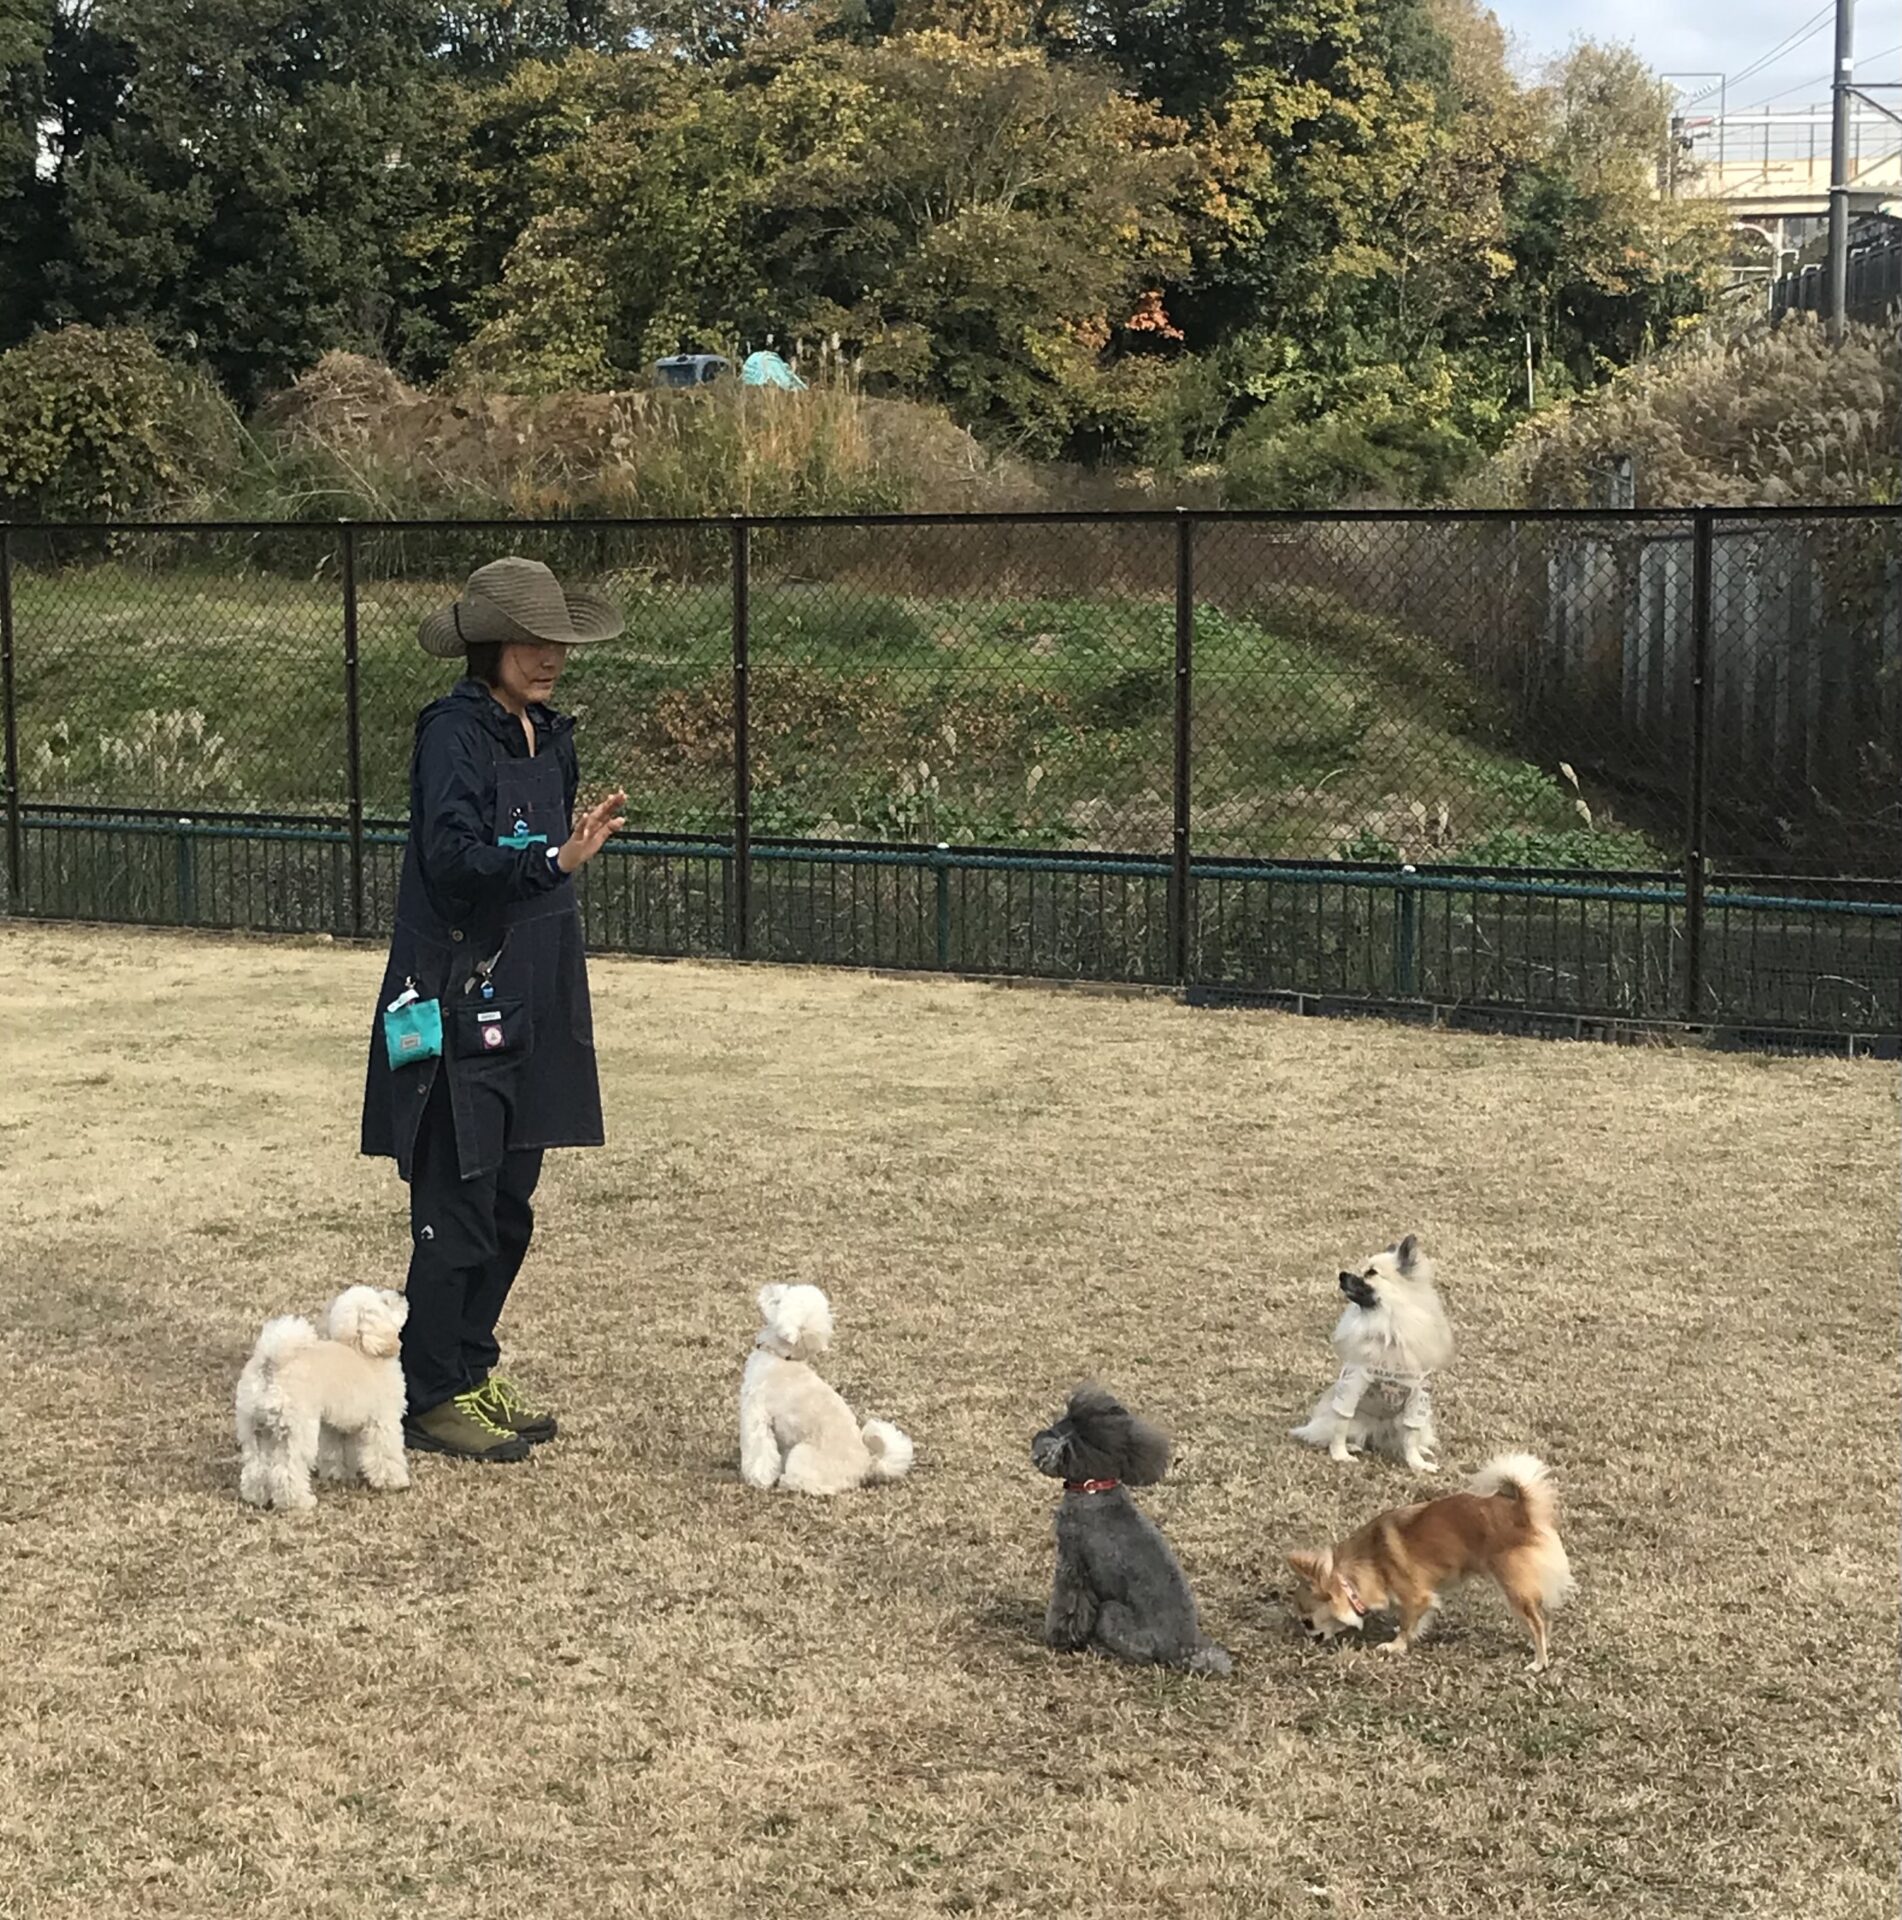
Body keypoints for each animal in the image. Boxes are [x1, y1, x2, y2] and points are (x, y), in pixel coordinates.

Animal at [234, 1286, 410, 1513]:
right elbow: (386, 1452)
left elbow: (337, 1451)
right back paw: (300, 1502)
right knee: (288, 1471)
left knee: (256, 1467)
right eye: (385, 1302)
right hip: (297, 1431)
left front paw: (339, 1474)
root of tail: (271, 1363)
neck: (359, 1347)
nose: (401, 1293)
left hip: (254, 1428)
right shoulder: (382, 1420)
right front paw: (394, 1481)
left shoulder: (336, 1425)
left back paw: (257, 1498)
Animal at [738, 1284, 914, 1495]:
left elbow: (759, 1451)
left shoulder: (757, 1415)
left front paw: (758, 1480)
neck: (782, 1357)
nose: (769, 1287)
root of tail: (868, 1465)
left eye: (778, 1301)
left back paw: (787, 1483)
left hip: (802, 1454)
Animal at [1031, 1385, 1231, 1675]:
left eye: (1055, 1430)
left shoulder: (1072, 1563)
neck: (1095, 1488)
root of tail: (1183, 1651)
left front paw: (1059, 1640)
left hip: (1112, 1613)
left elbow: (1067, 1607)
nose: (1035, 1436)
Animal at [1284, 1453, 1574, 1671]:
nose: (1308, 1640)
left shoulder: (1417, 1596)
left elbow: (1406, 1623)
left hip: (1513, 1586)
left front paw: (1395, 1646)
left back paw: (1539, 1662)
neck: (1365, 1567)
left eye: (1307, 1622)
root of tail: (1521, 1511)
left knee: (1537, 1622)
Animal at [1290, 1233, 1452, 1471]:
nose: (1342, 1275)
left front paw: (1417, 1463)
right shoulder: (1352, 1387)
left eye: (1371, 1273)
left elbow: (1410, 1437)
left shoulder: (1418, 1397)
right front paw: (1340, 1455)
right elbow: (1340, 1426)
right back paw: (1352, 1446)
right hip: (1357, 1422)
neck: (1389, 1328)